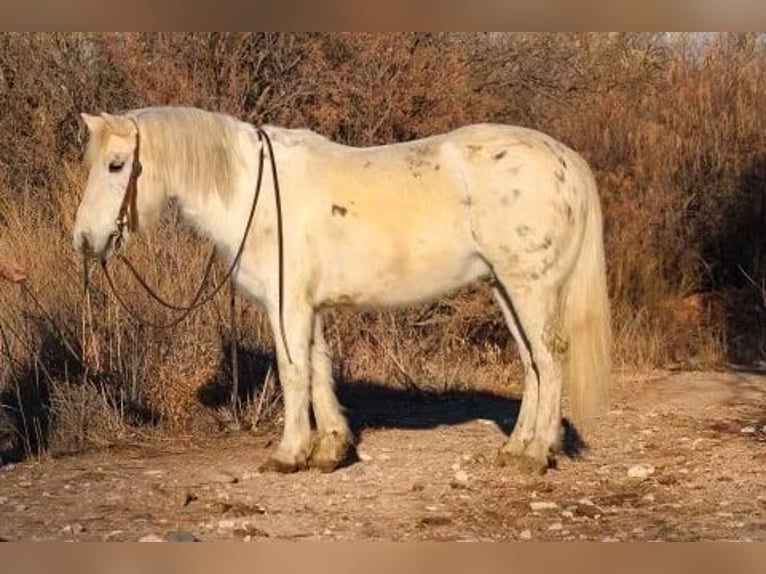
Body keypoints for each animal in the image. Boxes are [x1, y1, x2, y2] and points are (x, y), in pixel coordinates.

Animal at [73, 106, 612, 474]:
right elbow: (317, 369)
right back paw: (516, 448)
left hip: (529, 287)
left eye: (116, 165)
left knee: (549, 359)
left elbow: (293, 373)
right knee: (532, 363)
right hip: (505, 287)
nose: (83, 239)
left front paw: (288, 453)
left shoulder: (287, 305)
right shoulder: (306, 307)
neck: (255, 195)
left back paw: (535, 454)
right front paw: (330, 449)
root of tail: (565, 159)